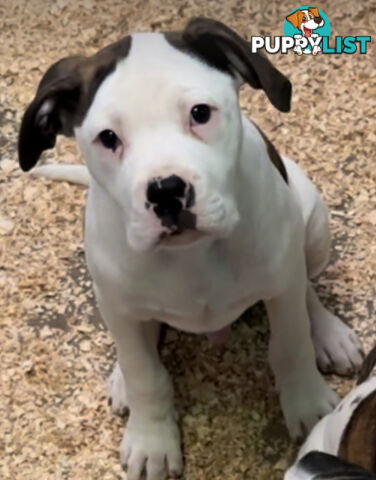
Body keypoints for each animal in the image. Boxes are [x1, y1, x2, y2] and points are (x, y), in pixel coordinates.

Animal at [18, 17, 364, 480]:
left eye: (200, 113)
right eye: (108, 138)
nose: (166, 191)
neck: (193, 256)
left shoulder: (282, 283)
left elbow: (291, 344)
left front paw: (307, 404)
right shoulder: (119, 305)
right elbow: (145, 374)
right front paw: (152, 439)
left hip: (312, 221)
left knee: (305, 286)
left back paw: (328, 334)